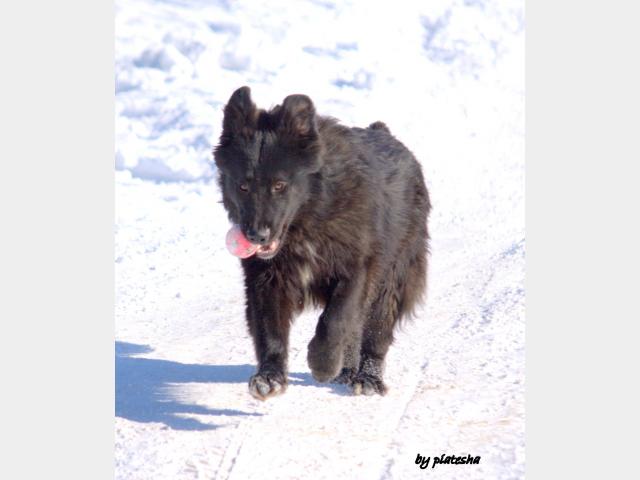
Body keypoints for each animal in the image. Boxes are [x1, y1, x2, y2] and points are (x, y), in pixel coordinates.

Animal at [214, 87, 430, 402]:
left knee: (374, 331)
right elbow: (270, 329)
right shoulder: (266, 279)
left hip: (394, 276)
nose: (256, 236)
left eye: (279, 185)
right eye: (243, 185)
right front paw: (269, 378)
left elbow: (335, 320)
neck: (310, 218)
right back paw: (347, 371)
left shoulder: (358, 269)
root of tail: (384, 132)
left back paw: (367, 378)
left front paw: (323, 362)